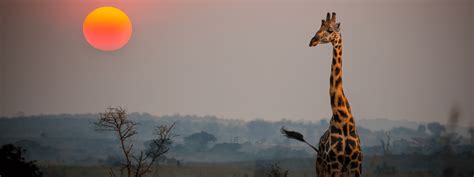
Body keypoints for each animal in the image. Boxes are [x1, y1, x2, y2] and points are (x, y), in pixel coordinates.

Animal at [282, 12, 362, 177]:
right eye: (319, 27)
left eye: (330, 30)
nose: (312, 40)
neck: (342, 120)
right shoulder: (334, 165)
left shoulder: (356, 165)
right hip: (321, 169)